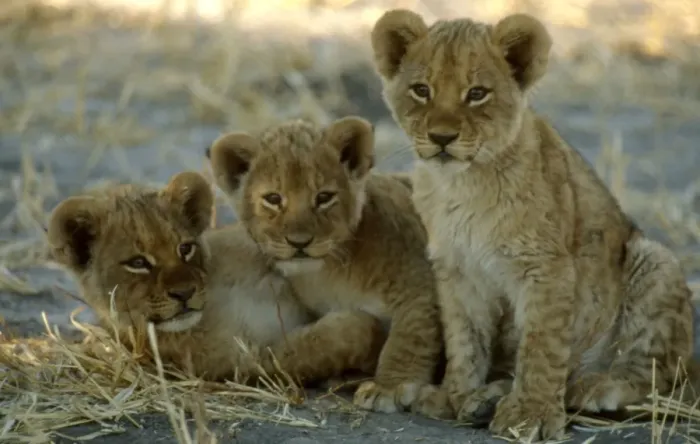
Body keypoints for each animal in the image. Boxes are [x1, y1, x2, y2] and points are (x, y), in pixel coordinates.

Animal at [206, 116, 443, 413]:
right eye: (273, 199)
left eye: (323, 197)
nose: (299, 242)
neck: (331, 273)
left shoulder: (420, 279)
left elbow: (410, 333)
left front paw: (389, 387)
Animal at [370, 9, 697, 441]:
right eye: (421, 90)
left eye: (477, 93)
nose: (441, 137)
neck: (462, 185)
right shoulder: (457, 272)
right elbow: (464, 339)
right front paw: (456, 395)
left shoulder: (546, 268)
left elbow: (541, 345)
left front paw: (532, 414)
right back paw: (488, 398)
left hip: (656, 261)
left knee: (659, 374)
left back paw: (596, 386)